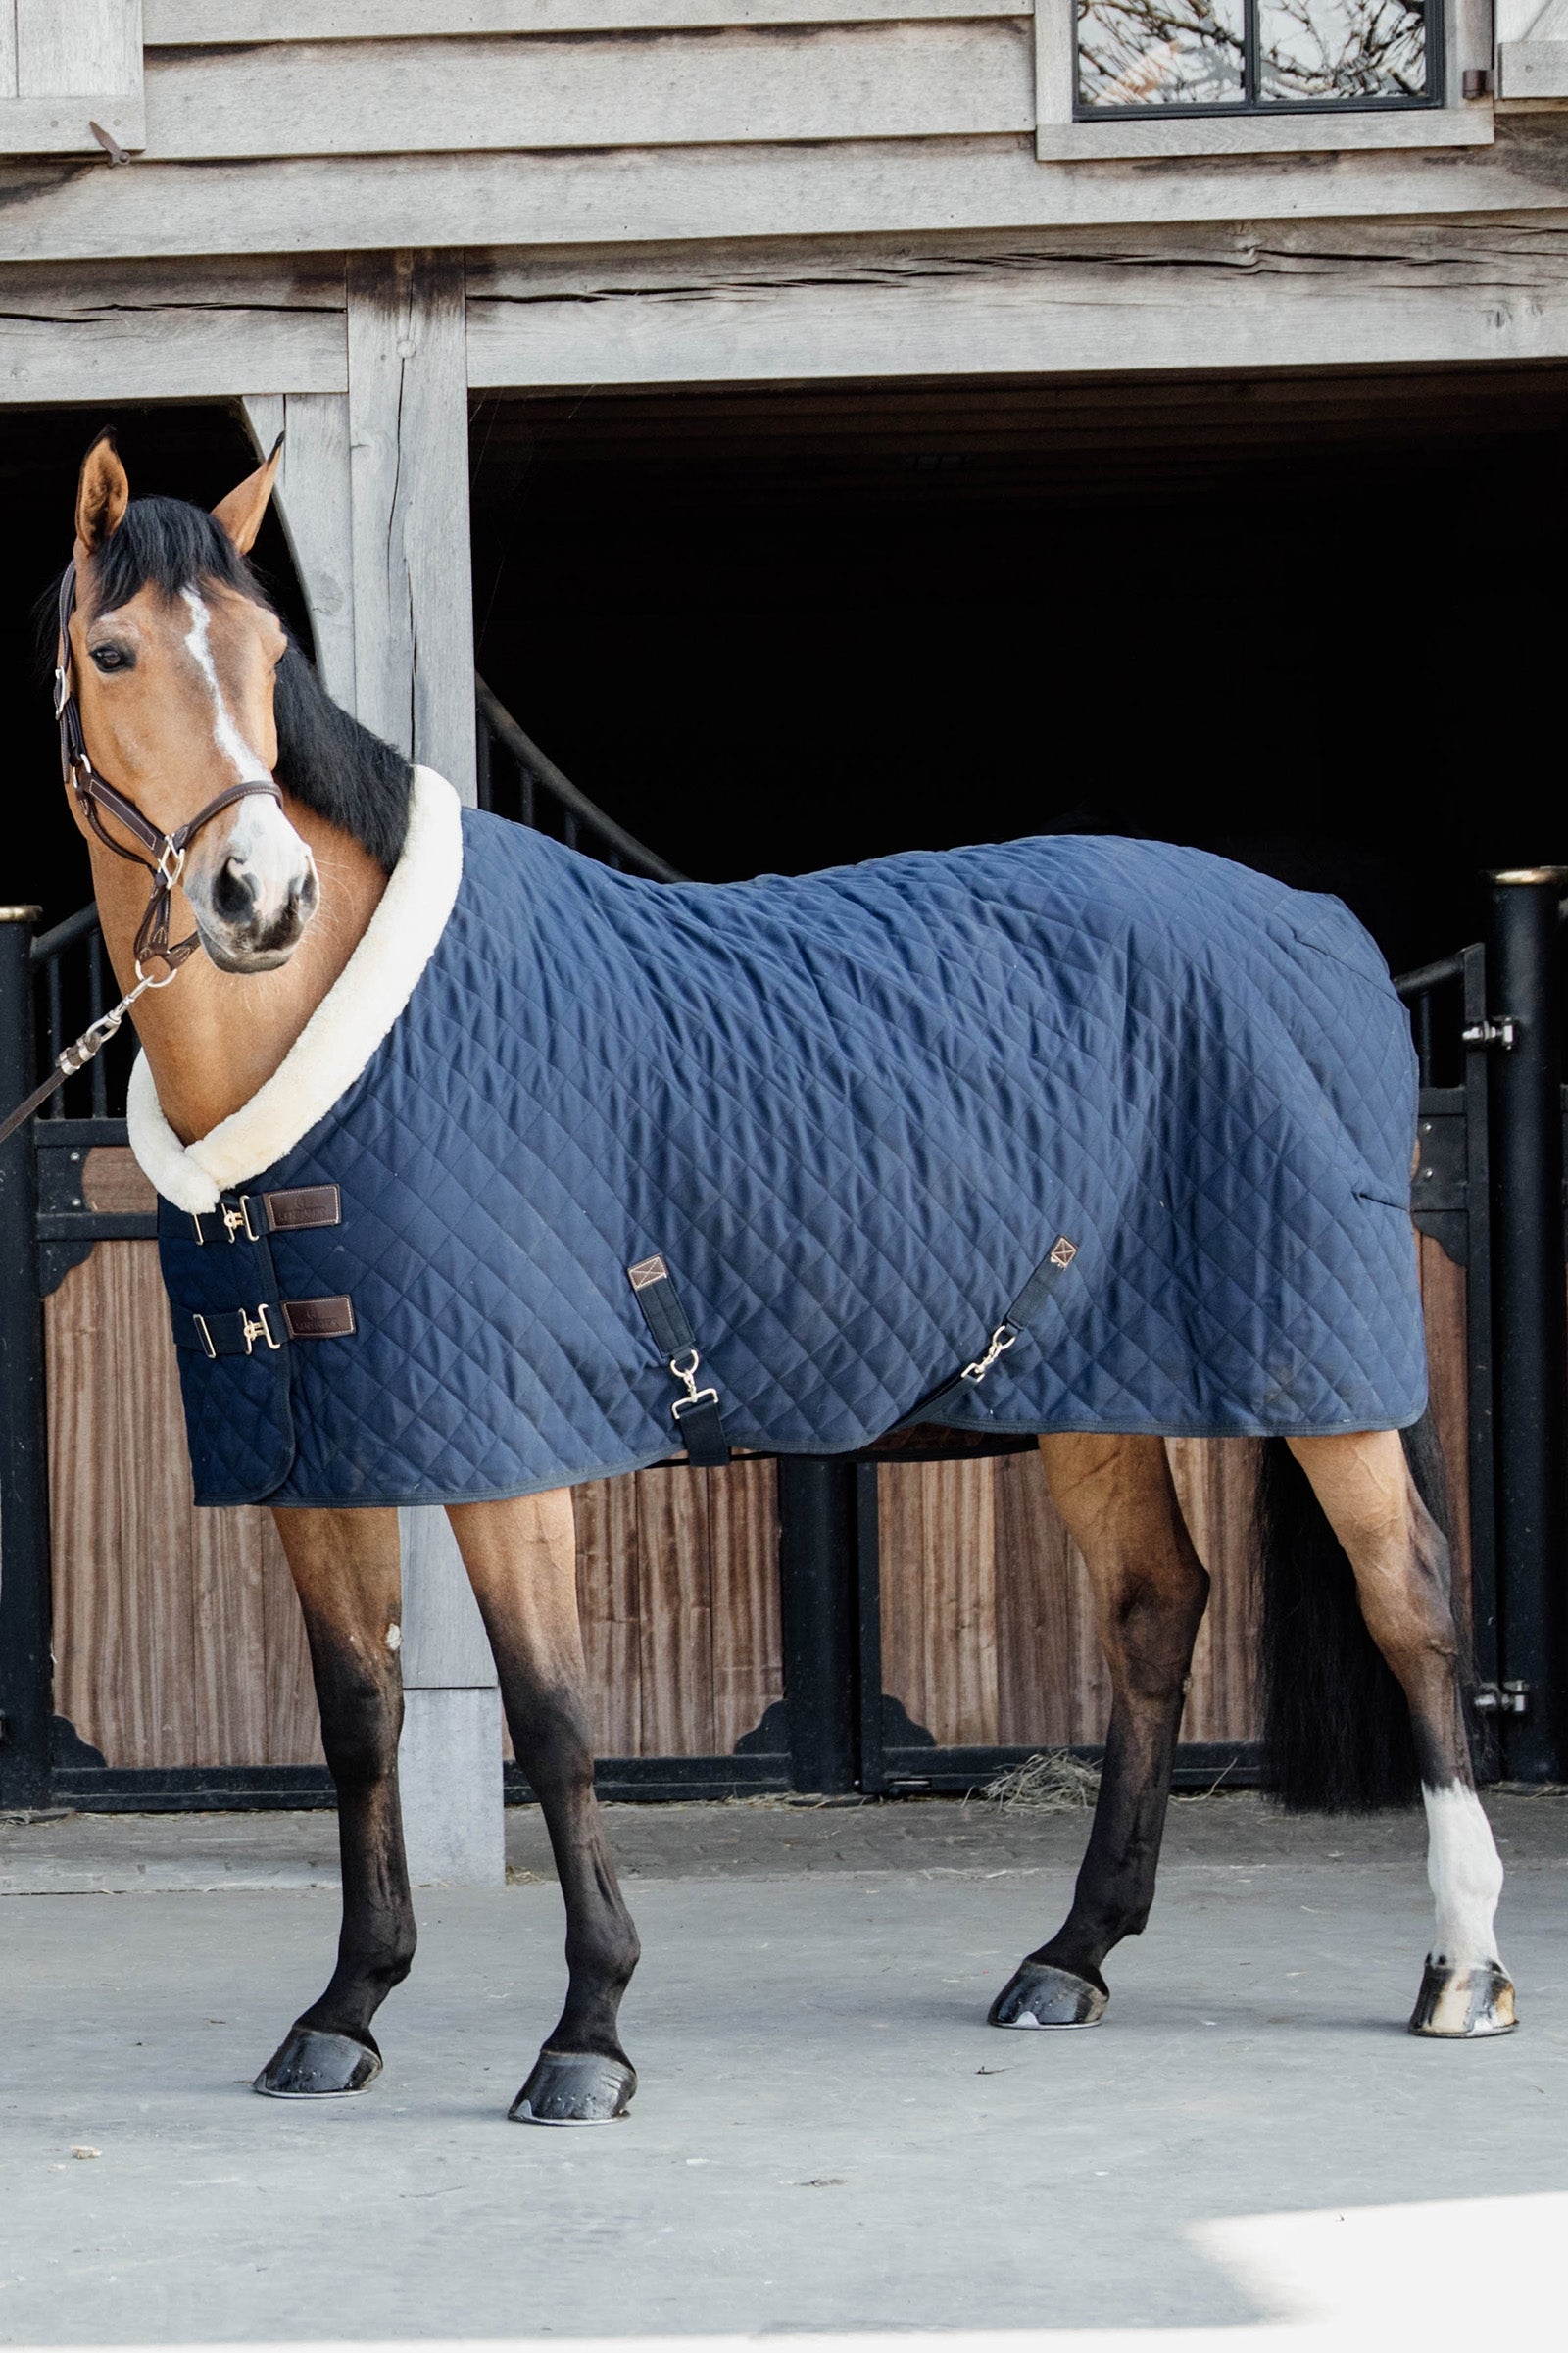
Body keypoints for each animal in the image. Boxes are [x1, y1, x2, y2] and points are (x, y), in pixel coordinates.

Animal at [43, 427, 1515, 2126]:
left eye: (271, 653)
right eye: (115, 652)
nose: (260, 896)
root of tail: (1319, 923)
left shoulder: (510, 1460)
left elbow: (552, 1721)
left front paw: (588, 2035)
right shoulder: (321, 1456)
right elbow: (359, 1724)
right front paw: (345, 2011)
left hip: (1320, 1372)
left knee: (1411, 1604)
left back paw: (1464, 1970)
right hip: (1092, 1391)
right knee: (1157, 1608)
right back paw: (1070, 1957)